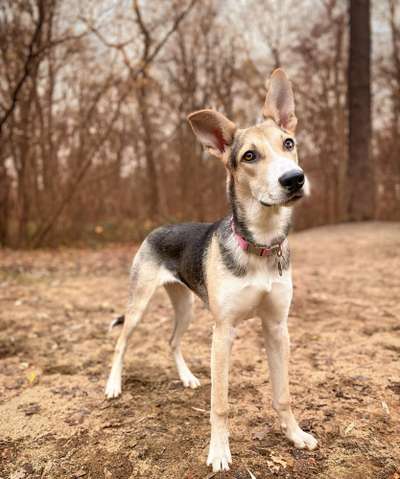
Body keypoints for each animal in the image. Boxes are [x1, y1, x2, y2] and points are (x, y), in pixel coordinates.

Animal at [106, 69, 318, 474]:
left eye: (289, 143)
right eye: (249, 156)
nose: (294, 179)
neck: (260, 244)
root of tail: (157, 229)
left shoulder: (276, 328)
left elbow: (282, 394)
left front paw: (295, 435)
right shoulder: (224, 333)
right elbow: (220, 405)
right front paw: (219, 452)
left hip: (187, 306)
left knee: (171, 341)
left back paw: (188, 378)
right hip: (140, 304)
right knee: (122, 341)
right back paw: (112, 385)